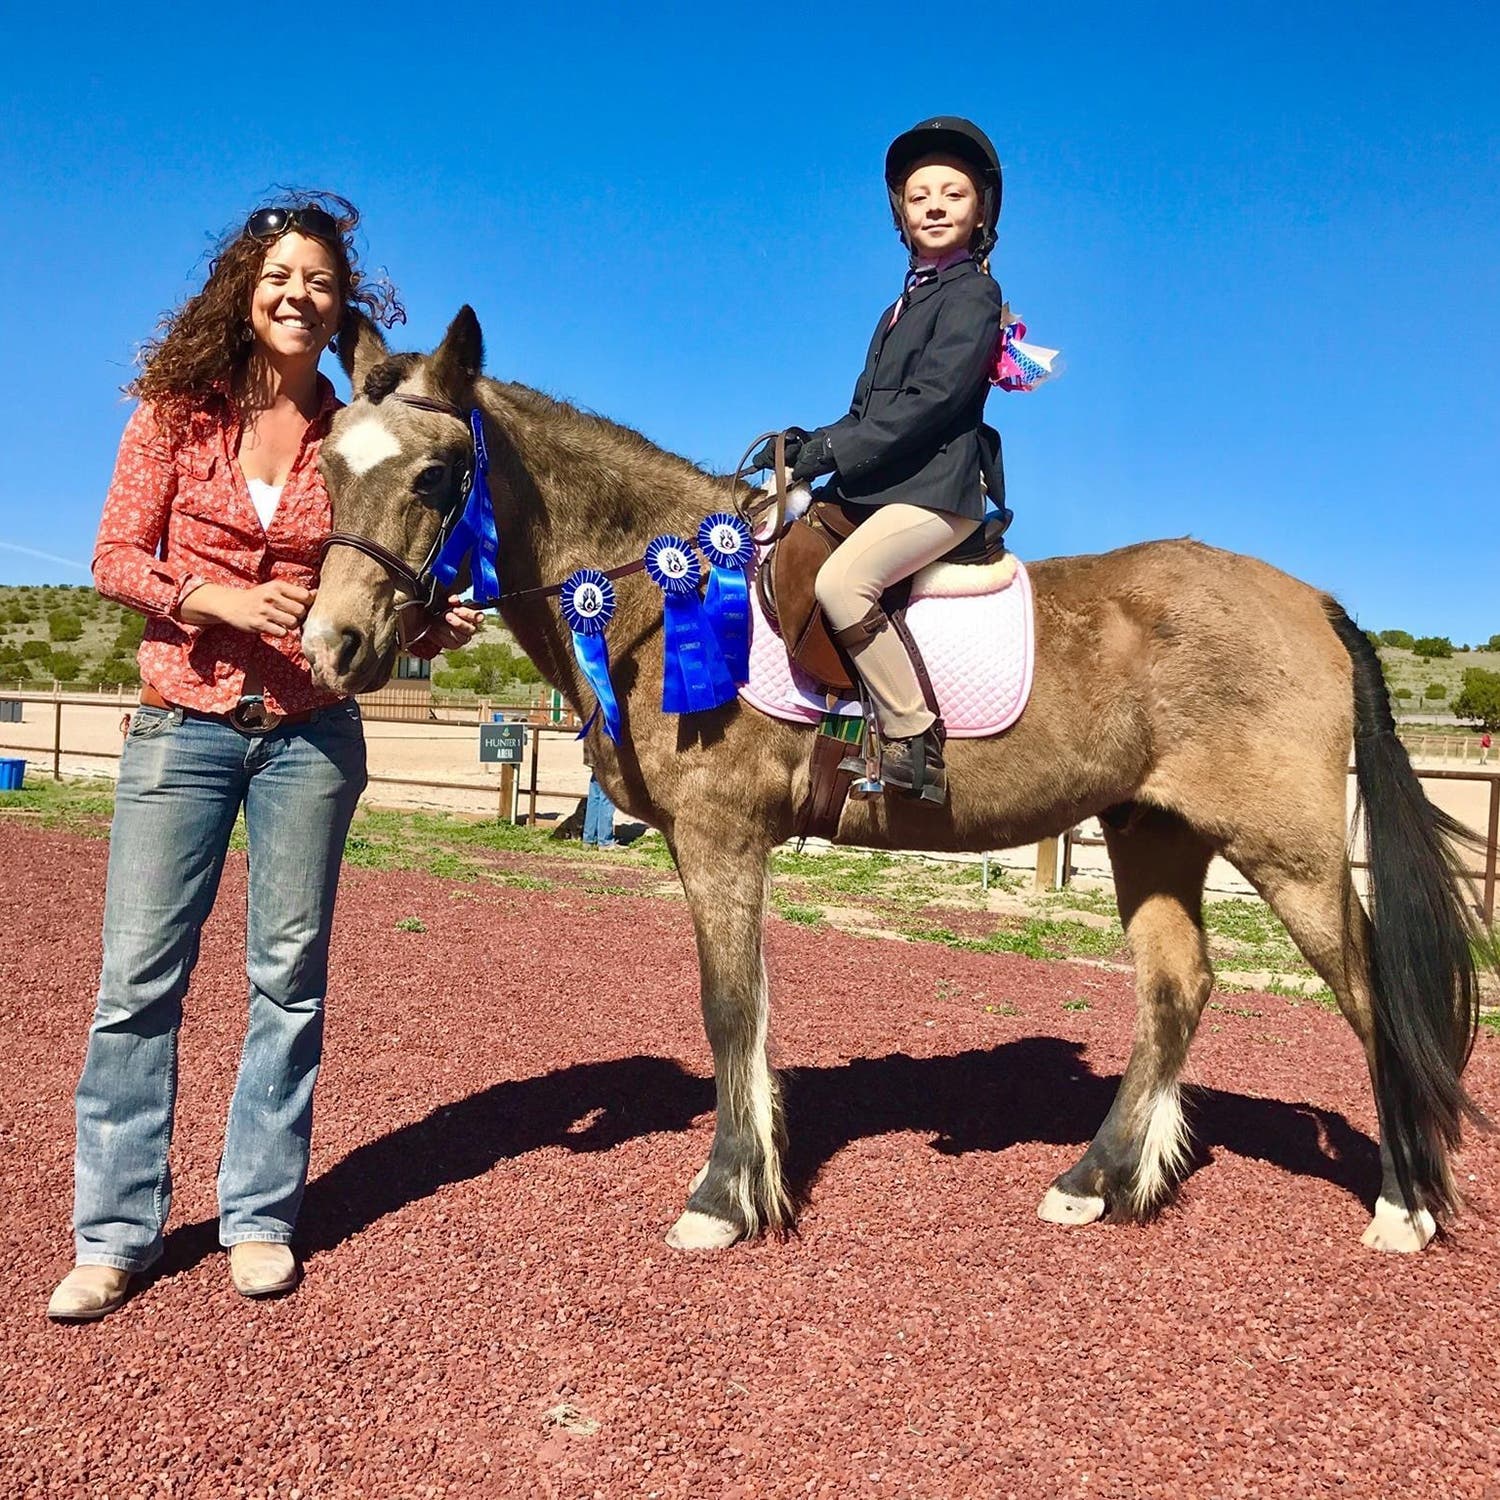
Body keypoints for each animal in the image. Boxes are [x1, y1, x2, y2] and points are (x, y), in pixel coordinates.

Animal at [303, 306, 1489, 1255]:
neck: (657, 585)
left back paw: (1403, 1207)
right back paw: (1095, 1183)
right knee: (1176, 989)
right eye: (326, 470)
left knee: (1371, 996)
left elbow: (730, 1009)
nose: (333, 646)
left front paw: (723, 1200)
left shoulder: (721, 835)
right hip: (1154, 830)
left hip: (1286, 852)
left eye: (434, 476)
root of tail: (1312, 600)